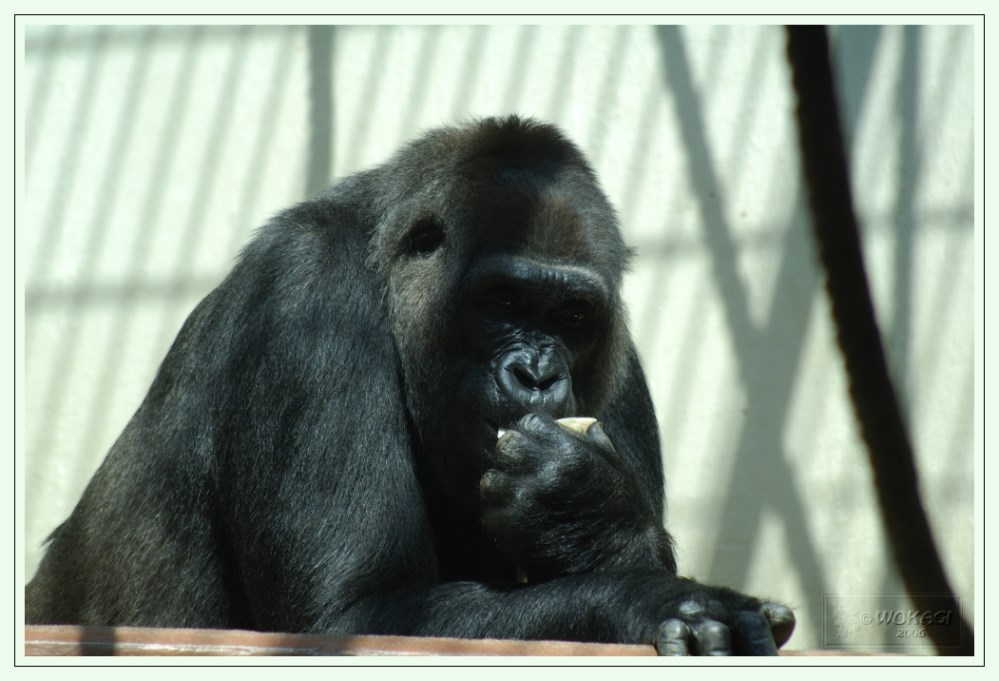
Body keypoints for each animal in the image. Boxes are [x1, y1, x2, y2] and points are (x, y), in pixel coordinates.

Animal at [25, 115, 796, 652]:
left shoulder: (620, 365)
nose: (536, 374)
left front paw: (591, 515)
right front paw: (650, 598)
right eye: (503, 301)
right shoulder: (311, 296)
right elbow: (351, 615)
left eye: (572, 315)